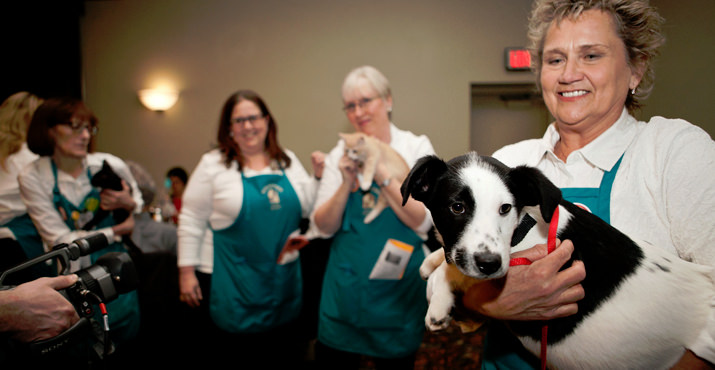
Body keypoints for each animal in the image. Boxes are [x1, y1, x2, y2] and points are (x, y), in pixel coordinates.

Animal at [402, 152, 715, 368]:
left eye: (505, 208)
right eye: (457, 207)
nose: (490, 264)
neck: (526, 227)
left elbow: (452, 271)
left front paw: (439, 299)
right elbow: (448, 259)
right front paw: (433, 260)